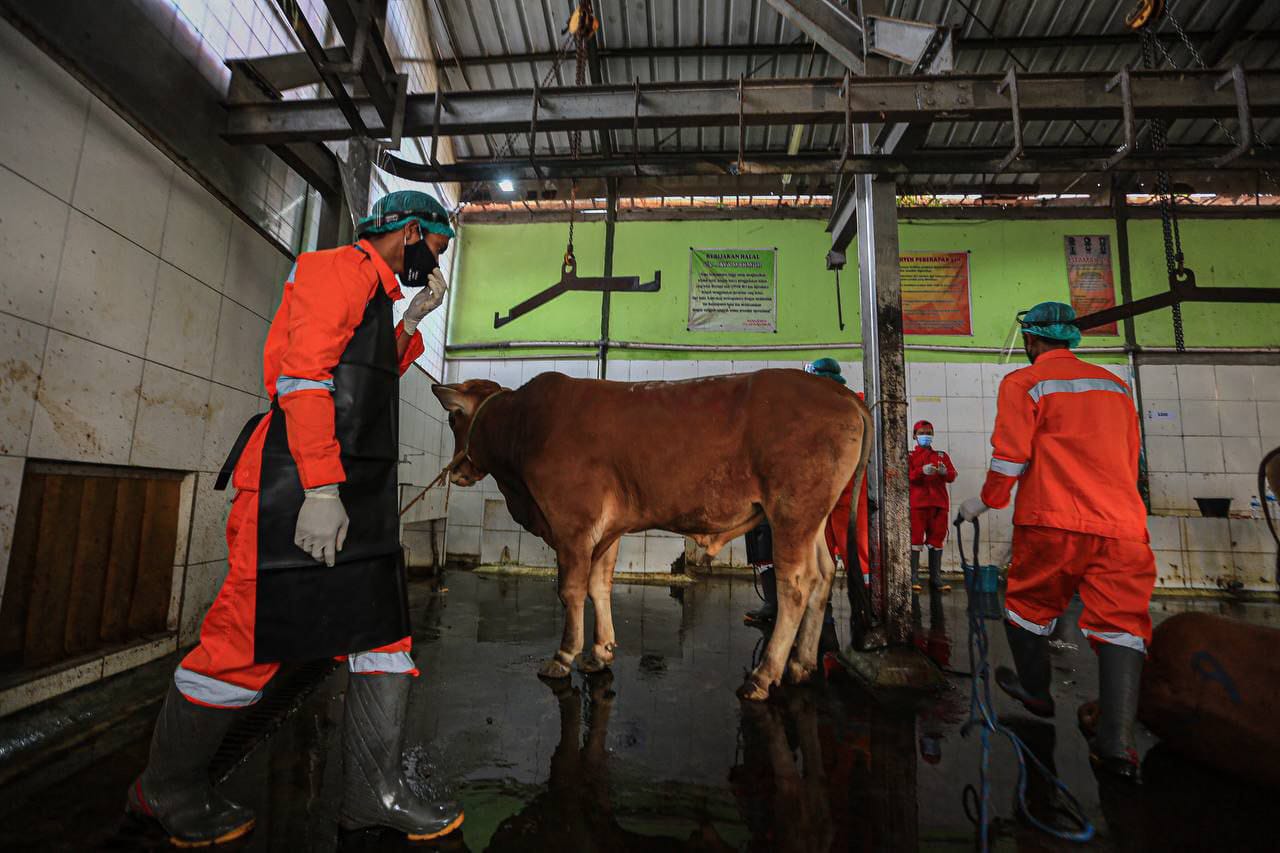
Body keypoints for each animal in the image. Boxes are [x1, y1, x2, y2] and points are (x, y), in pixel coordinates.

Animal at [435, 366, 875, 696]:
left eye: (454, 417)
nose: (456, 472)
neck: (523, 426)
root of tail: (843, 395)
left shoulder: (572, 524)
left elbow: (571, 590)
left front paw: (563, 656)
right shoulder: (607, 531)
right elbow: (599, 584)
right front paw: (599, 652)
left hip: (791, 510)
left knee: (795, 585)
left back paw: (764, 674)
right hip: (814, 517)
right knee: (823, 574)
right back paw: (801, 664)